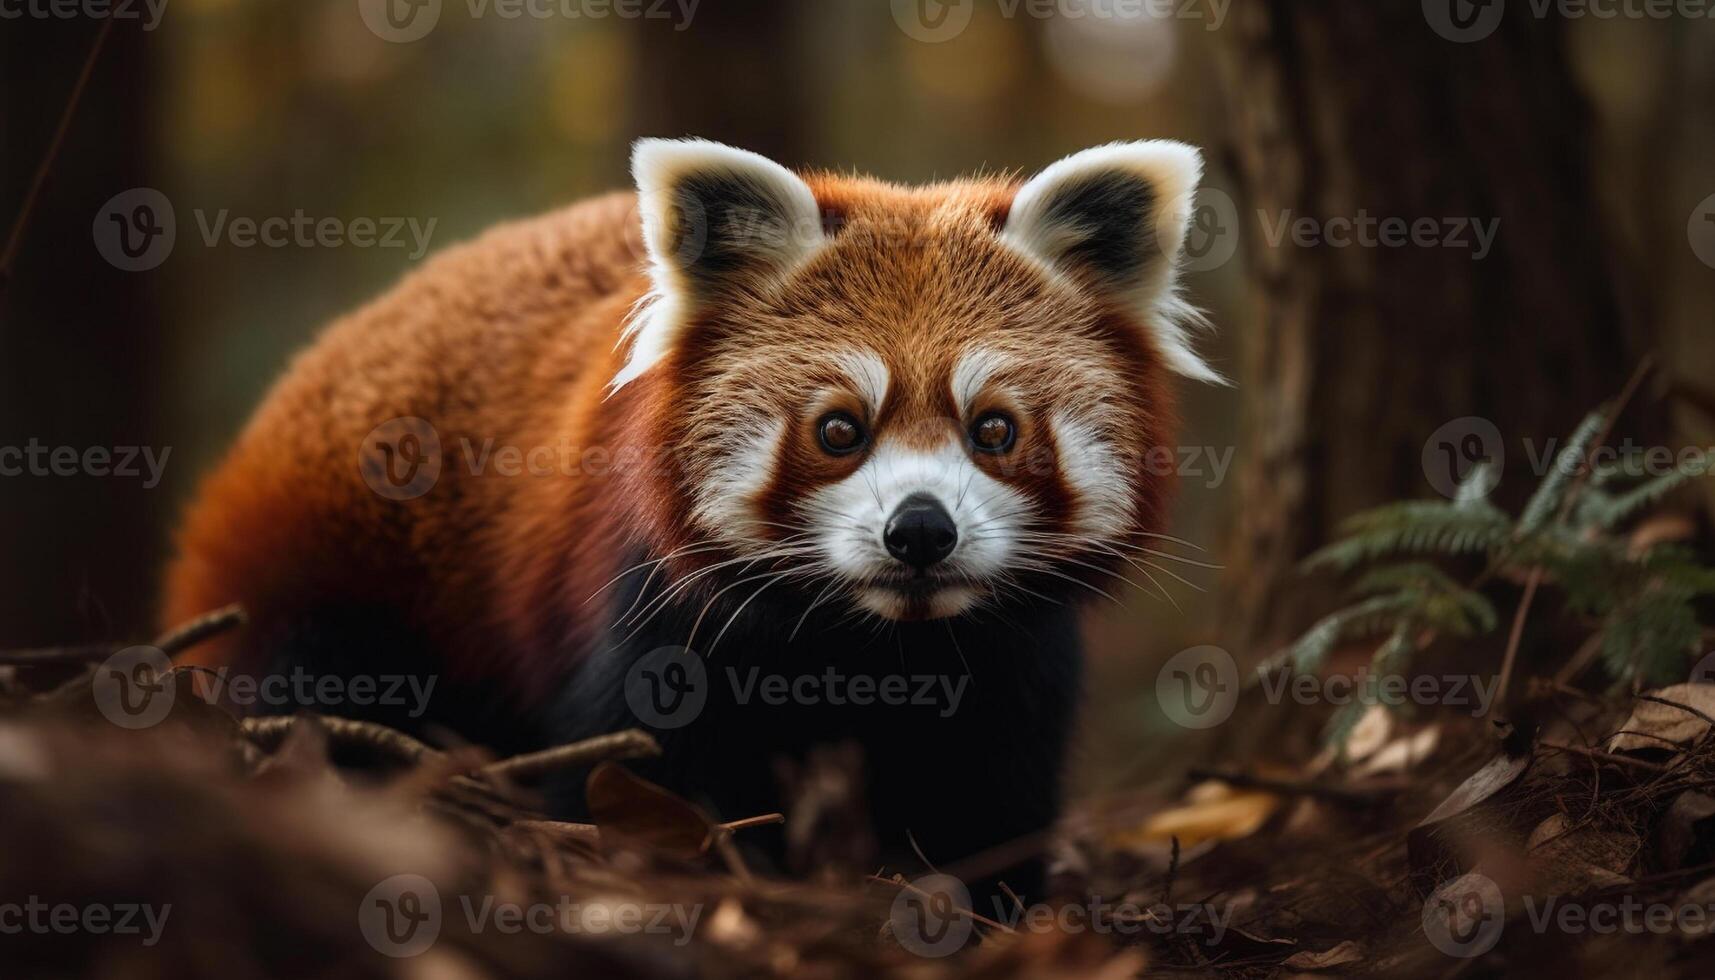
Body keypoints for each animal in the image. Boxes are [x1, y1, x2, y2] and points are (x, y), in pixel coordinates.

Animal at [163, 138, 1221, 899]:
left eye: (993, 428)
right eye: (838, 429)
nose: (920, 531)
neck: (871, 641)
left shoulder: (1011, 654)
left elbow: (990, 791)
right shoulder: (650, 607)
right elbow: (633, 762)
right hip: (327, 569)